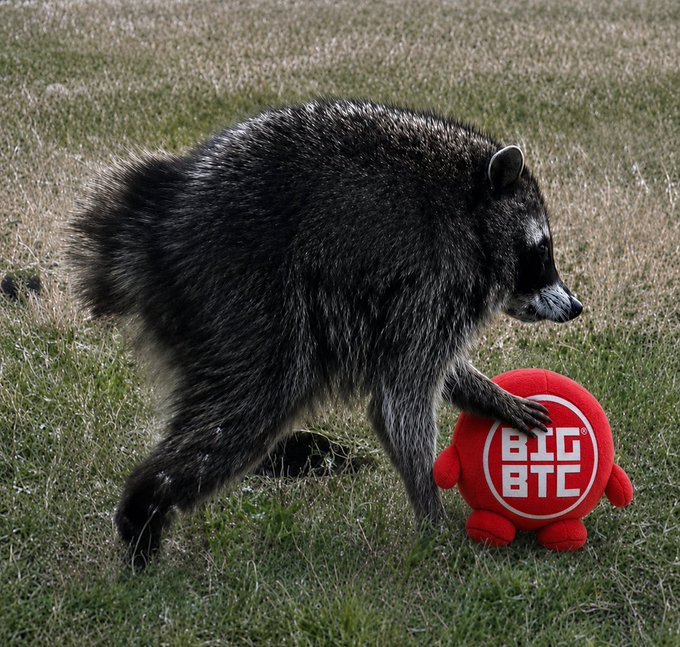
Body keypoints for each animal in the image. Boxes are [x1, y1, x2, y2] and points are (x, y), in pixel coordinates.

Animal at [69, 99, 582, 568]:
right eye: (542, 252)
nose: (576, 307)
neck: (471, 211)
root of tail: (158, 219)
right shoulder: (434, 280)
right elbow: (400, 402)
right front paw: (432, 518)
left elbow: (425, 370)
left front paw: (492, 397)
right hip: (243, 292)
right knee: (250, 405)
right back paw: (145, 508)